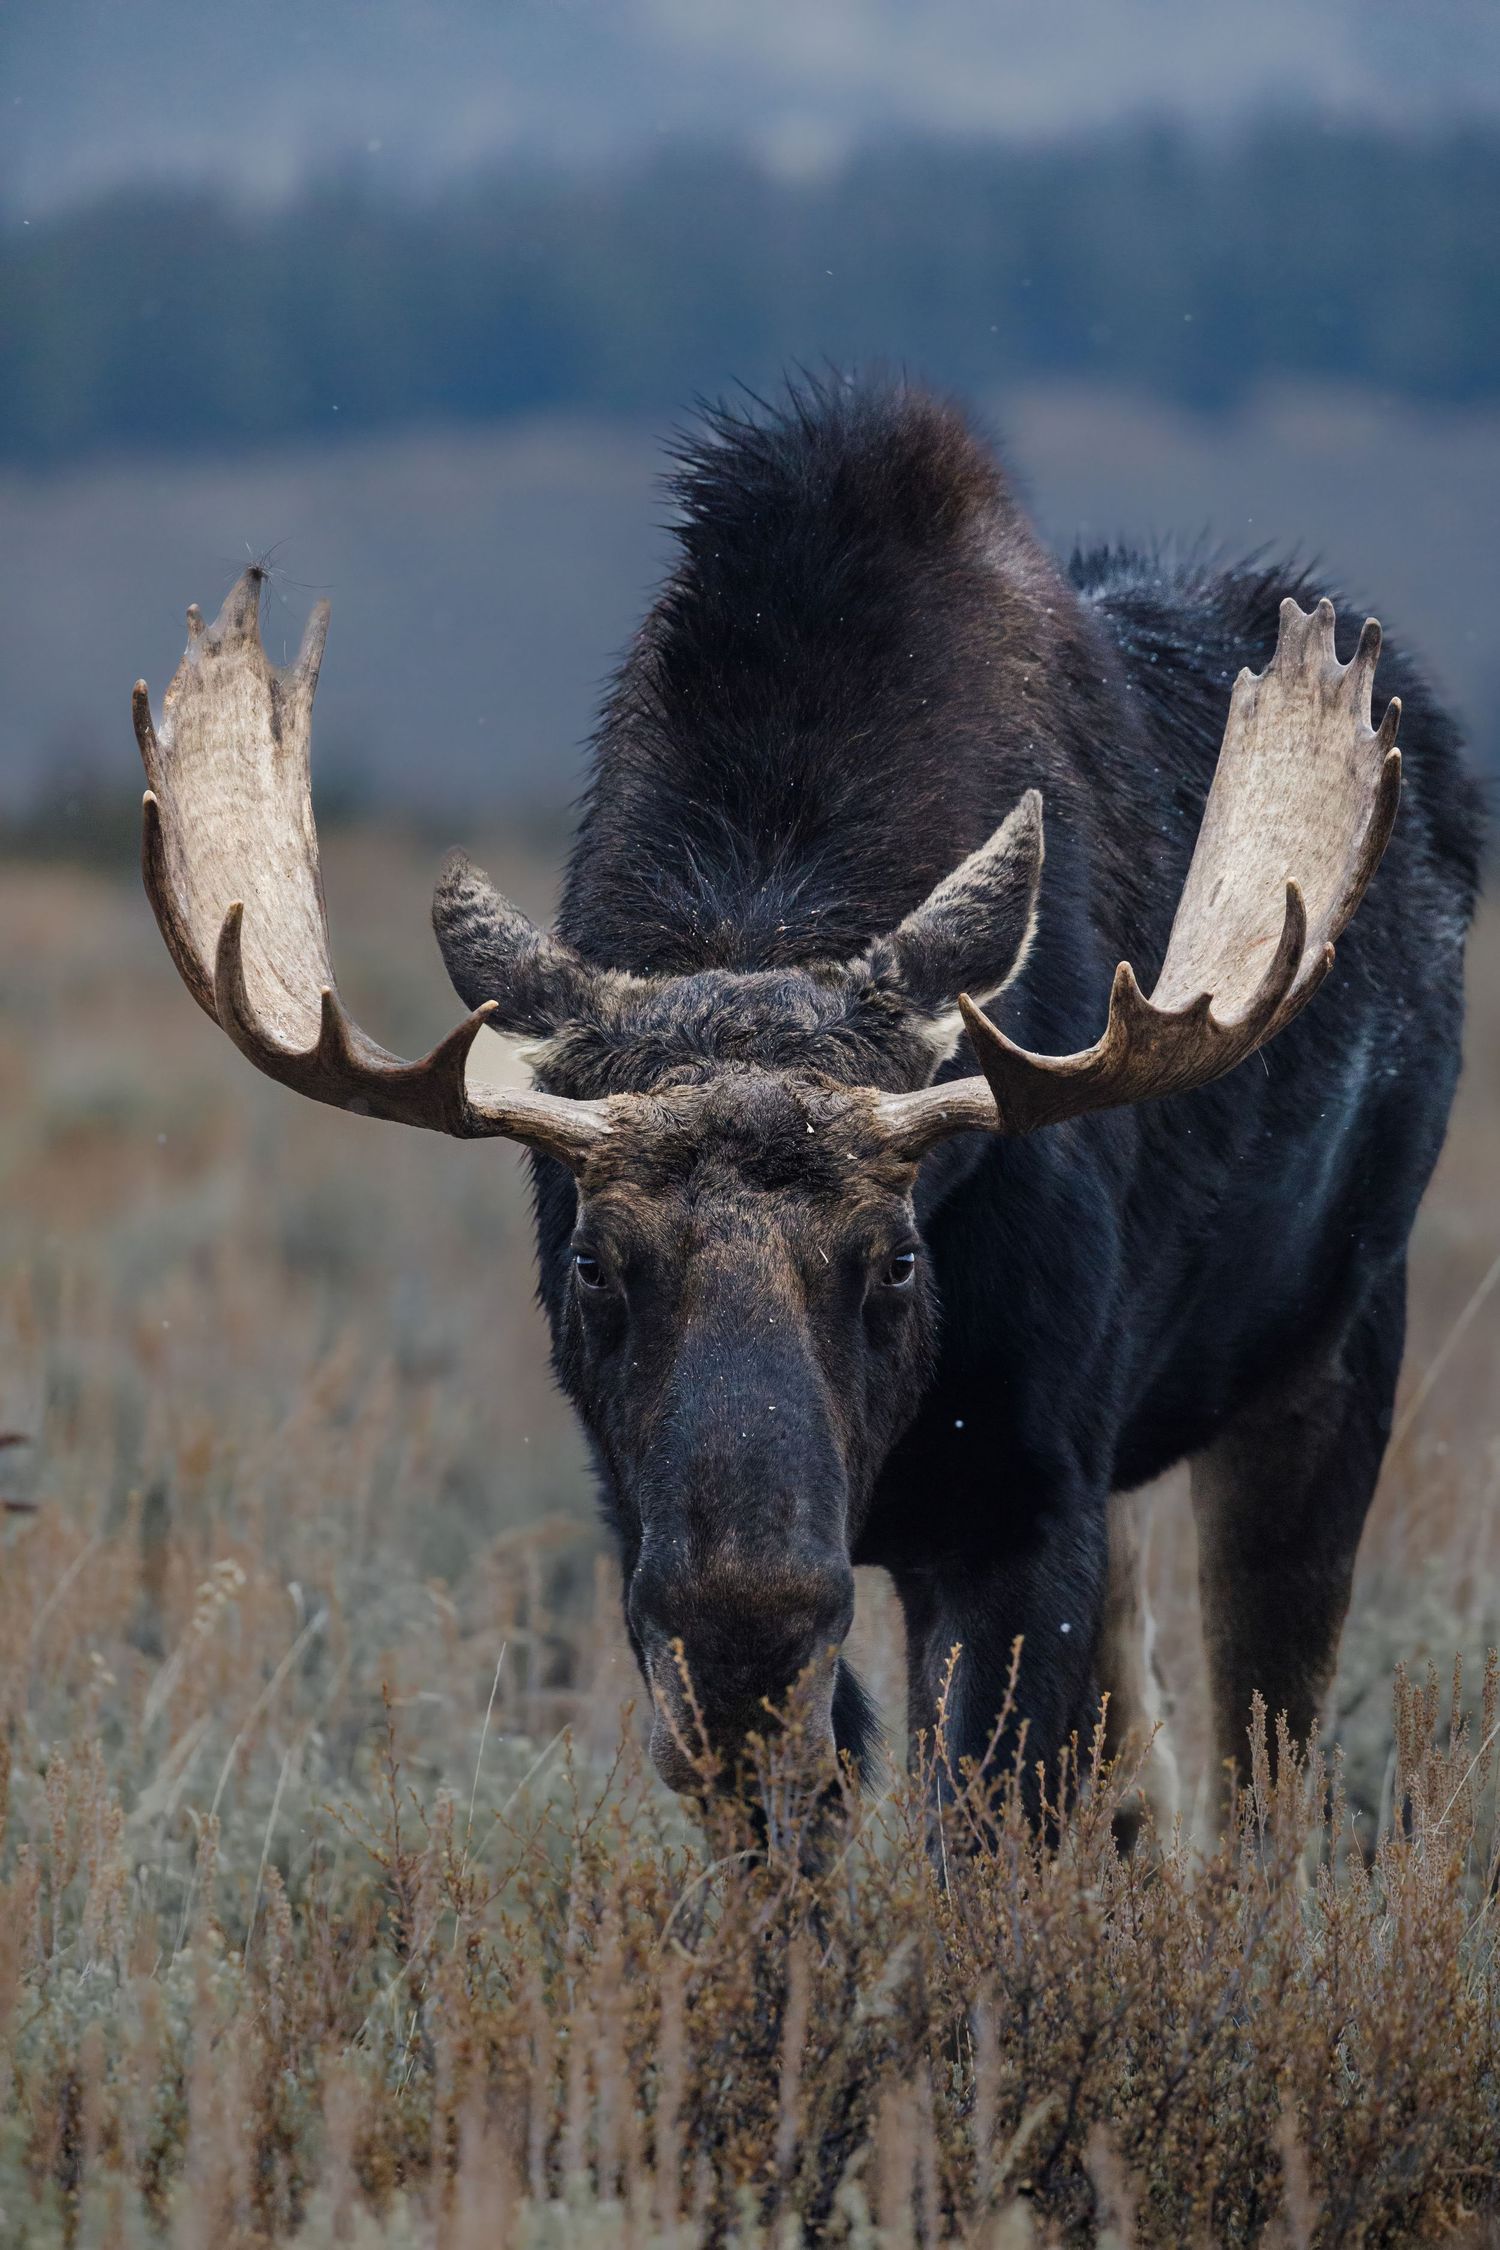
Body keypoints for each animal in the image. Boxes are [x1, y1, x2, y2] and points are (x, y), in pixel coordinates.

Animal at [132, 380, 1481, 1829]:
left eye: (897, 1258)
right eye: (594, 1263)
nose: (747, 1623)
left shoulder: (1023, 1501)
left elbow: (985, 1832)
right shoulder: (639, 1522)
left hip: (1330, 1355)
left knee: (1266, 1769)